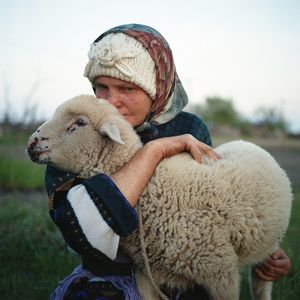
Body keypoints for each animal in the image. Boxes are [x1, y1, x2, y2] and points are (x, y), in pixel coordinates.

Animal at [27, 94, 292, 300]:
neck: (152, 188)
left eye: (79, 123)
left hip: (268, 242)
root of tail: (248, 143)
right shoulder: (147, 273)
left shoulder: (220, 272)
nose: (32, 142)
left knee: (261, 281)